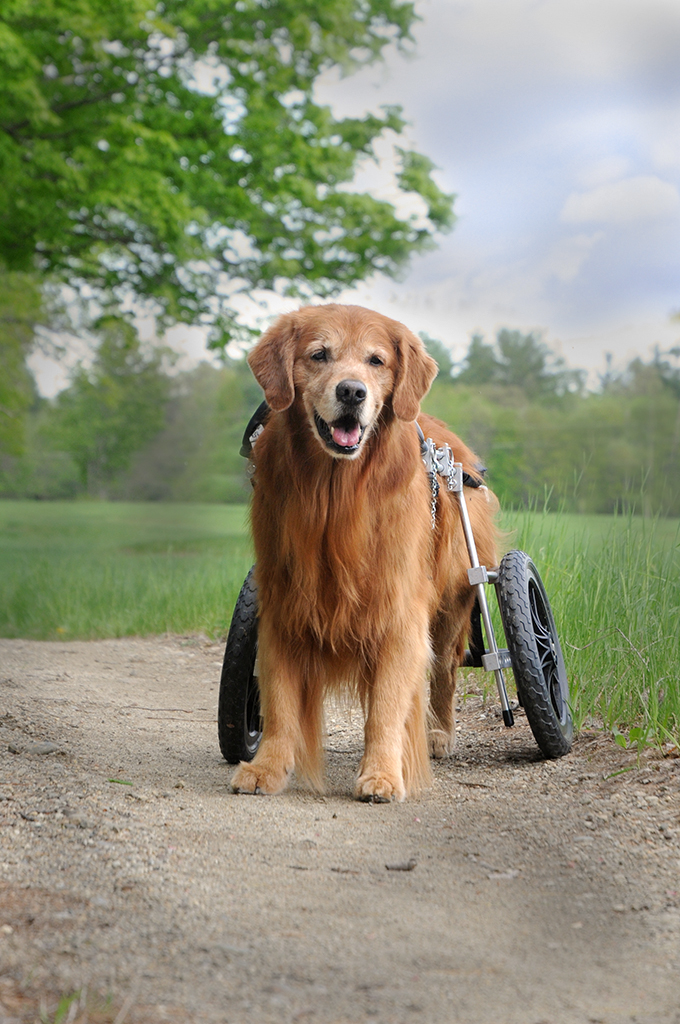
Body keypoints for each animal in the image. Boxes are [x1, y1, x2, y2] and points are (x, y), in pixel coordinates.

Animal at [231, 301, 497, 798]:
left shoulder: (398, 611)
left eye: (376, 361)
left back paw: (438, 734)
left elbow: (387, 706)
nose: (352, 391)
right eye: (319, 355)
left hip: (453, 602)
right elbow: (278, 701)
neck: (336, 495)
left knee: (445, 674)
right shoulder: (283, 606)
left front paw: (381, 774)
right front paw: (266, 767)